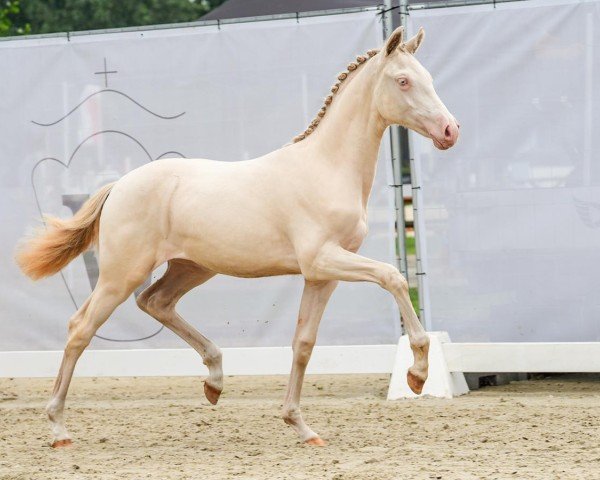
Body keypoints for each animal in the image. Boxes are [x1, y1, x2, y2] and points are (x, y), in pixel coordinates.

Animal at [18, 25, 460, 446]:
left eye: (428, 77)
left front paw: (301, 427)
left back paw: (214, 381)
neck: (327, 167)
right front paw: (418, 373)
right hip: (121, 274)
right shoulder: (323, 258)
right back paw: (58, 429)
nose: (450, 131)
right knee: (81, 327)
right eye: (403, 81)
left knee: (155, 302)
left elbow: (304, 342)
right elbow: (393, 277)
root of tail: (119, 186)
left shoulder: (322, 275)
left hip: (191, 268)